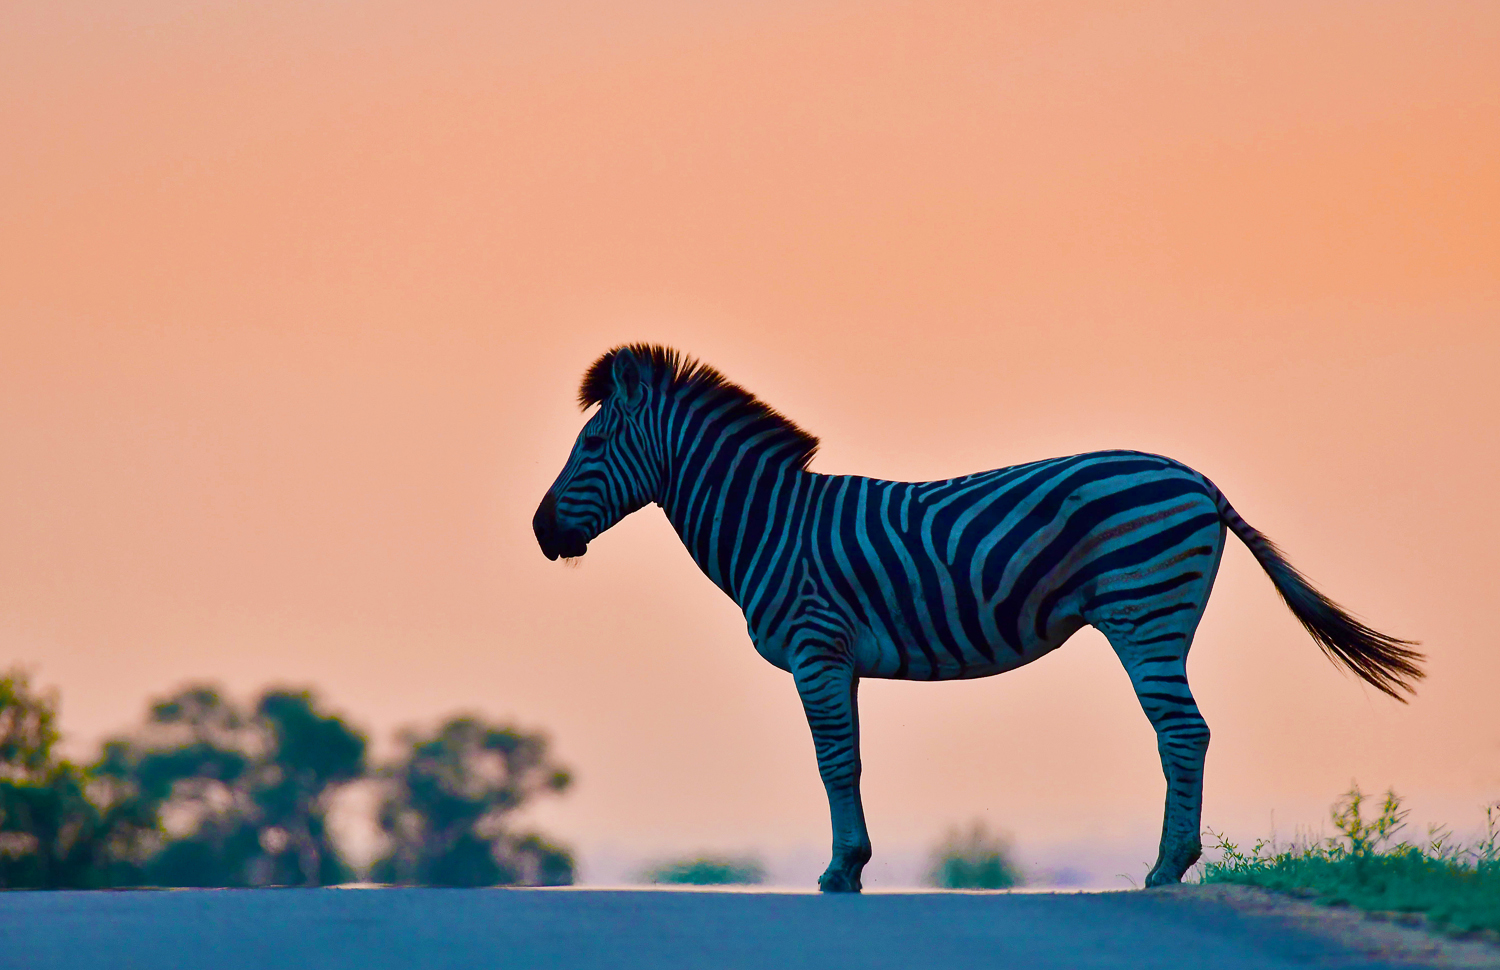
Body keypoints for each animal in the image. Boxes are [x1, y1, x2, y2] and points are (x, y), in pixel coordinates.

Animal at [532, 344, 1423, 892]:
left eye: (592, 445)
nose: (541, 533)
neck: (771, 523)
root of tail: (1198, 479)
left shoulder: (817, 649)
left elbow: (834, 765)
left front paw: (841, 871)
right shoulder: (841, 661)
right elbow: (851, 762)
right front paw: (852, 863)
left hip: (1145, 610)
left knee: (1183, 732)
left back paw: (1168, 868)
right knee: (1185, 732)